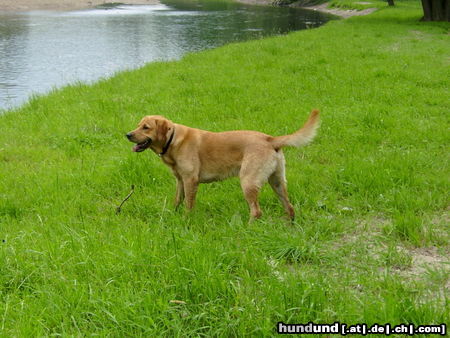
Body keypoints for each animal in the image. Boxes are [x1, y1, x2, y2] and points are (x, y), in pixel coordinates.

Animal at [125, 109, 318, 218]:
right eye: (138, 125)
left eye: (146, 127)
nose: (127, 134)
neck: (173, 140)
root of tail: (270, 139)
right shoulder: (180, 180)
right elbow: (177, 201)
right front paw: (172, 216)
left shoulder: (190, 180)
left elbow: (188, 205)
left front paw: (186, 221)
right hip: (277, 182)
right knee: (289, 207)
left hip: (248, 182)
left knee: (256, 211)